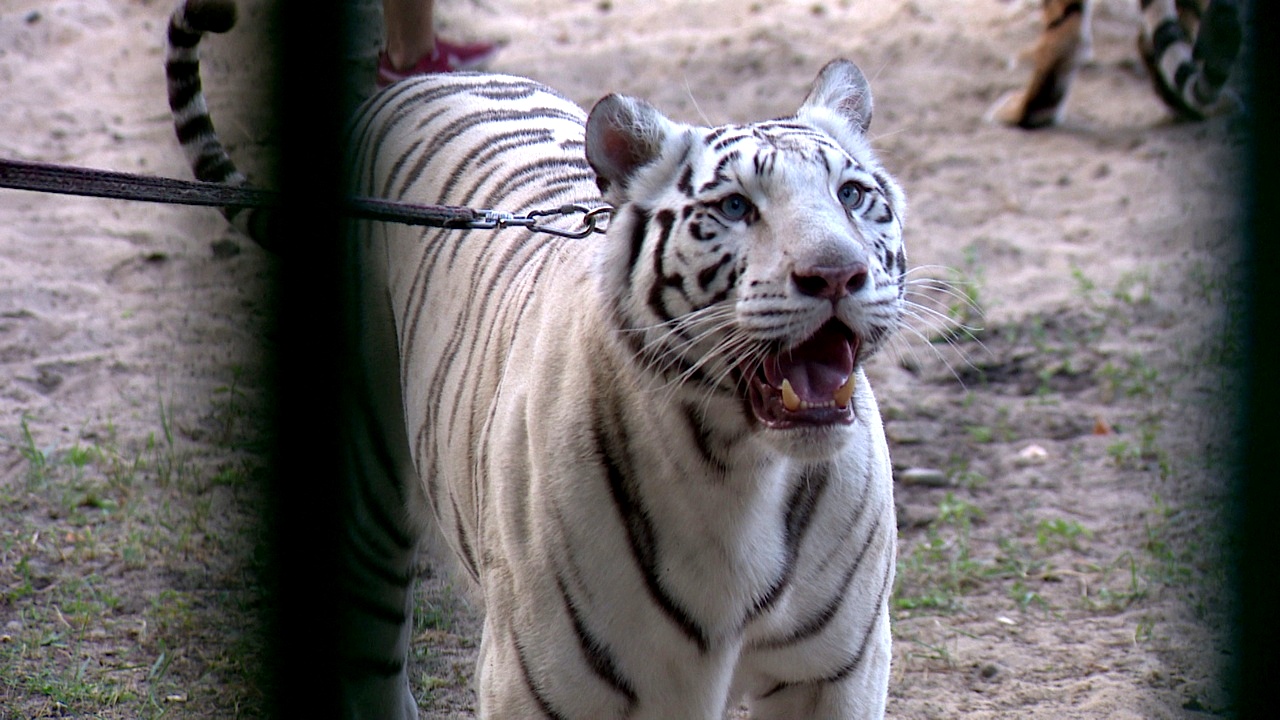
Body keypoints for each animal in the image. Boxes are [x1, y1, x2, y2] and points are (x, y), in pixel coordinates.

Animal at [170, 2, 906, 712]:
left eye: (852, 195)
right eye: (733, 207)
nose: (836, 274)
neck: (738, 469)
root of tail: (411, 84)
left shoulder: (837, 673)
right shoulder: (538, 678)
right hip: (364, 516)